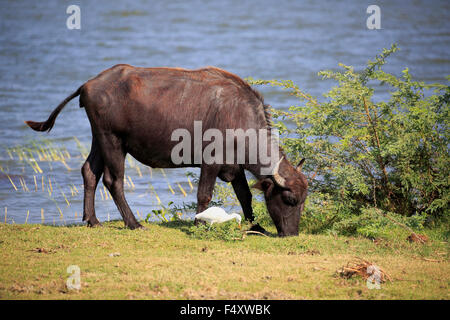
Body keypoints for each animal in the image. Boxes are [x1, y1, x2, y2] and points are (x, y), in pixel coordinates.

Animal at [26, 64, 308, 235]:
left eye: (303, 200)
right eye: (289, 200)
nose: (291, 233)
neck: (238, 117)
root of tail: (88, 84)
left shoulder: (235, 167)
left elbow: (245, 196)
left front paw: (256, 225)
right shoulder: (210, 161)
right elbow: (204, 195)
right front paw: (199, 222)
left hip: (99, 138)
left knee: (89, 172)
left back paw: (92, 220)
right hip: (113, 141)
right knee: (112, 180)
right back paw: (133, 223)